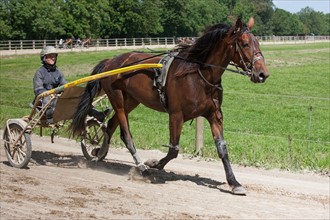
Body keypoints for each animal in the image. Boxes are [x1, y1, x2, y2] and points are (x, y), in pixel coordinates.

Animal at [69, 18, 268, 195]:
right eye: (245, 44)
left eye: (257, 42)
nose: (262, 73)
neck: (198, 74)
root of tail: (111, 61)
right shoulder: (176, 115)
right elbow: (173, 150)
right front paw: (154, 164)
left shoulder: (214, 115)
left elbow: (222, 149)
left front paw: (234, 183)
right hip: (117, 100)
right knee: (126, 135)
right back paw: (141, 168)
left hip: (131, 101)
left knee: (110, 127)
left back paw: (98, 151)